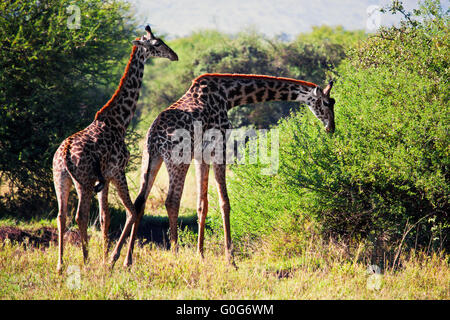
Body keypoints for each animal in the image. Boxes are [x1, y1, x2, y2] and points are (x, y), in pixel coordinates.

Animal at [52, 25, 178, 272]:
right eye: (157, 44)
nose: (174, 55)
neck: (119, 121)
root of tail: (65, 153)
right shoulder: (117, 171)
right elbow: (132, 210)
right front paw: (112, 259)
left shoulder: (106, 178)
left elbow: (105, 217)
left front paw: (105, 257)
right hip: (84, 182)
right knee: (80, 216)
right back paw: (85, 261)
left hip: (61, 179)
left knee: (62, 216)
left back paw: (61, 265)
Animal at [125, 72, 334, 264]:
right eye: (326, 103)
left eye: (333, 102)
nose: (331, 127)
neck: (229, 95)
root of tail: (154, 135)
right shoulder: (220, 146)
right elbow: (224, 202)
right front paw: (230, 258)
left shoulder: (201, 154)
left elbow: (202, 204)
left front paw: (201, 255)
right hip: (177, 159)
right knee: (171, 201)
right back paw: (175, 255)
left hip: (151, 158)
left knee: (140, 201)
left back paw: (127, 259)